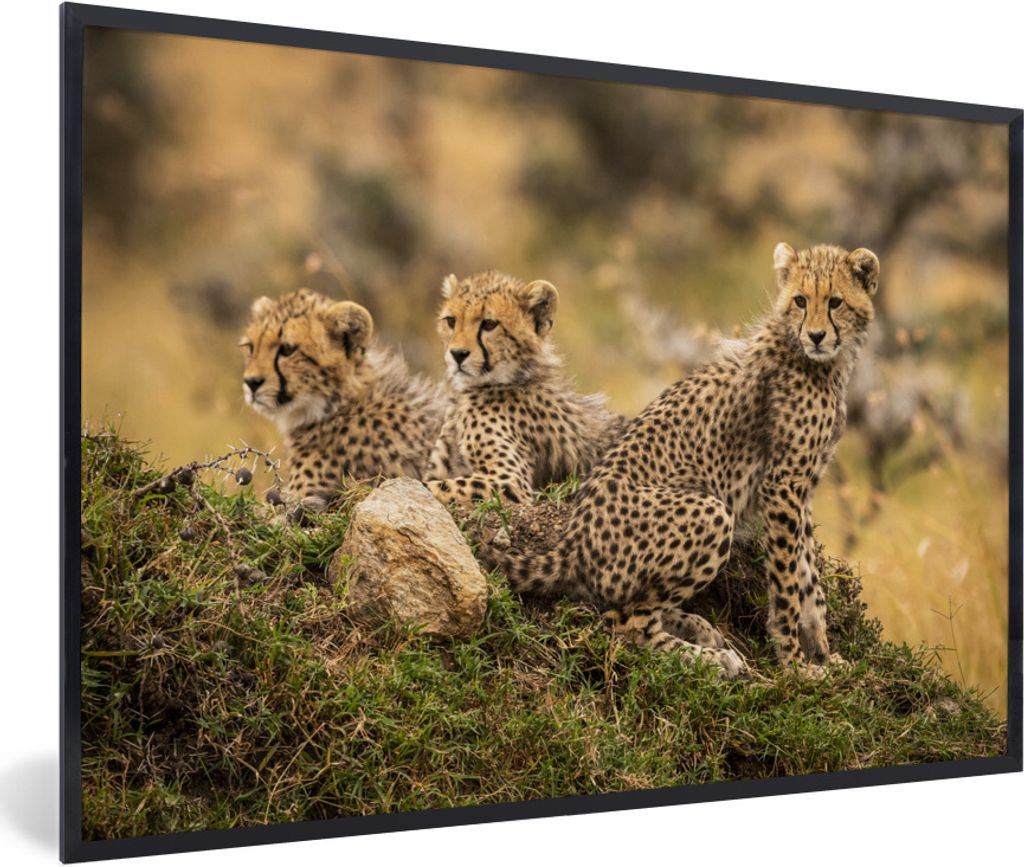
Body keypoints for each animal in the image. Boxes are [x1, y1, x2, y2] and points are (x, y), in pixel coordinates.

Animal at [480, 243, 880, 678]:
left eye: (835, 302)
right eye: (801, 301)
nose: (817, 335)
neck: (817, 360)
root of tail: (571, 546)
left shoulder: (800, 488)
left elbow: (809, 580)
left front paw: (824, 653)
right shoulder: (783, 486)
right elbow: (789, 581)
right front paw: (794, 664)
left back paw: (698, 629)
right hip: (711, 512)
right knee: (626, 623)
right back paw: (713, 660)